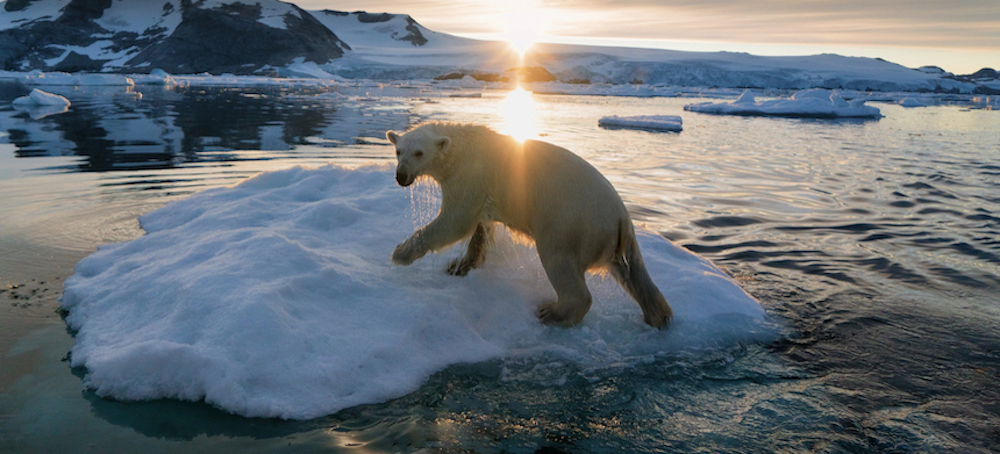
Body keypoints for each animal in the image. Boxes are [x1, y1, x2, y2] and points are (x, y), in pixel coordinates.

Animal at [386, 122, 676, 328]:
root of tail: (621, 217)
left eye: (419, 152)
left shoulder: (469, 175)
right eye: (399, 151)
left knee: (559, 262)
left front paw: (400, 253)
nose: (401, 176)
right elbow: (481, 228)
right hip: (615, 238)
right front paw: (460, 266)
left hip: (570, 223)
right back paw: (659, 315)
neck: (461, 148)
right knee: (633, 273)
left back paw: (553, 313)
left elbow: (456, 221)